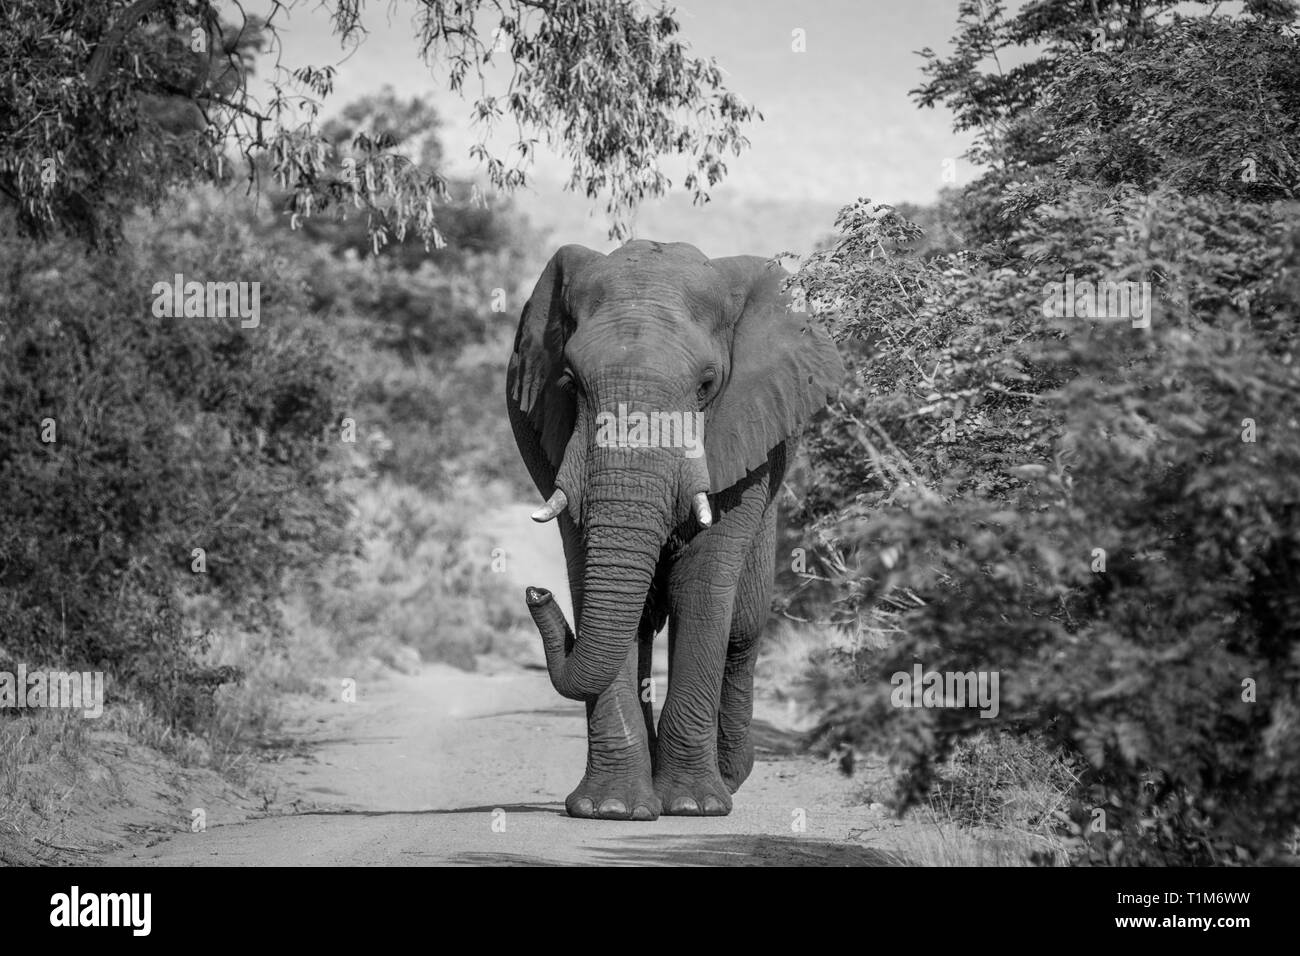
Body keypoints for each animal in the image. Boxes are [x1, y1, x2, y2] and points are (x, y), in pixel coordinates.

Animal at [501, 240, 837, 822]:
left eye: (706, 386)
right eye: (570, 383)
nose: (535, 593)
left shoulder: (741, 432)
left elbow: (702, 586)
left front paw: (693, 805)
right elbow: (591, 583)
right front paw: (612, 808)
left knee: (744, 625)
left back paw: (730, 775)